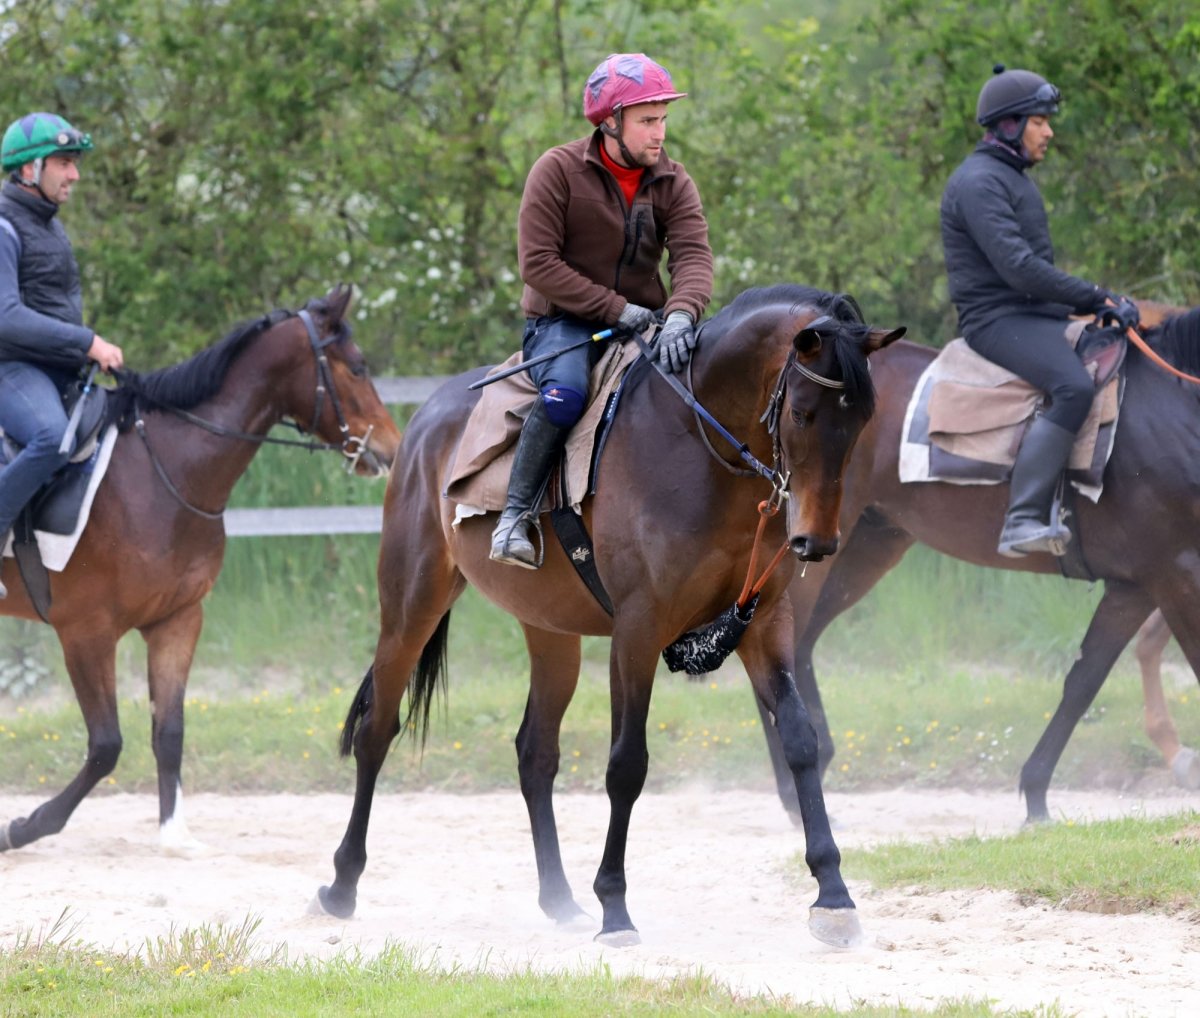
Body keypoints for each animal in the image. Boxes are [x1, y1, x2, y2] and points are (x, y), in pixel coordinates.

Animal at [0, 285, 401, 855]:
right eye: (358, 367)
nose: (390, 448)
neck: (164, 472)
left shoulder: (177, 621)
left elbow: (168, 731)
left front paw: (175, 833)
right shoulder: (86, 633)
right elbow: (106, 745)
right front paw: (23, 827)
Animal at [312, 284, 905, 947]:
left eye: (861, 421)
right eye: (802, 414)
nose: (816, 542)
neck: (701, 449)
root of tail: (424, 420)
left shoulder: (766, 624)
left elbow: (801, 740)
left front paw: (833, 895)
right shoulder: (637, 631)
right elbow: (627, 765)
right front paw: (615, 907)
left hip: (550, 632)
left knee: (535, 753)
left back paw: (558, 898)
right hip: (411, 605)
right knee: (376, 731)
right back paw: (341, 885)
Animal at [752, 305, 1200, 825]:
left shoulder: (1136, 586)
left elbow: (1083, 681)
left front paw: (1036, 793)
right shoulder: (1176, 573)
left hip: (866, 547)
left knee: (801, 645)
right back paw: (791, 791)